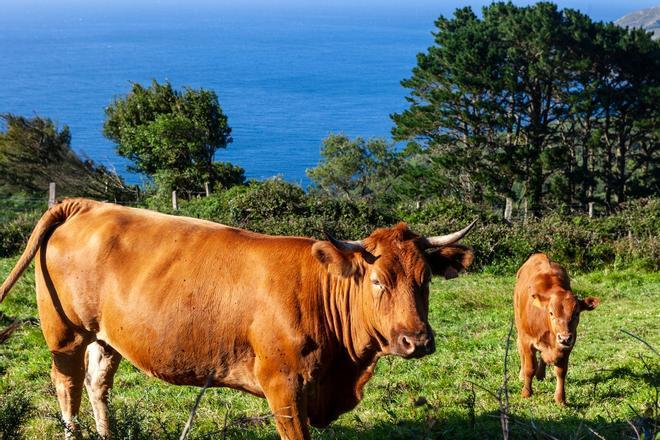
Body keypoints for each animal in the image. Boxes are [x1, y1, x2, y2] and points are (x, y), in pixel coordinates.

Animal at [0, 200, 474, 440]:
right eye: (377, 281)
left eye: (425, 279)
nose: (417, 341)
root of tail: (87, 205)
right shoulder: (284, 385)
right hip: (65, 334)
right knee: (67, 386)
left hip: (105, 336)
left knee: (97, 383)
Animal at [512, 253, 600, 404]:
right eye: (551, 313)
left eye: (577, 313)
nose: (564, 338)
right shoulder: (527, 341)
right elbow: (530, 367)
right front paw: (526, 392)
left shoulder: (567, 346)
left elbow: (561, 371)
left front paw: (560, 398)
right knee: (521, 352)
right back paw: (522, 375)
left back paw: (541, 374)